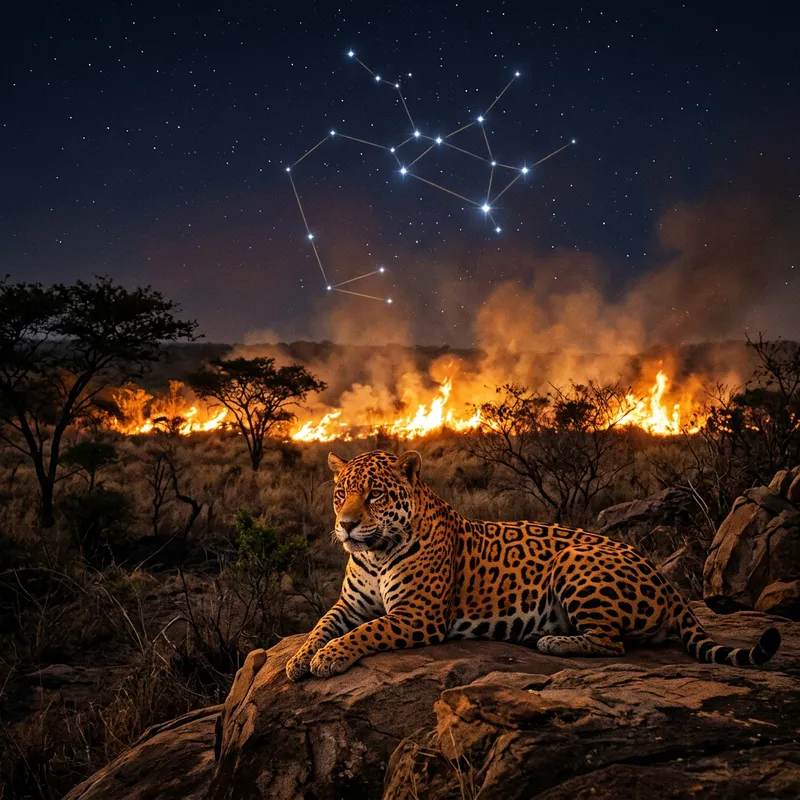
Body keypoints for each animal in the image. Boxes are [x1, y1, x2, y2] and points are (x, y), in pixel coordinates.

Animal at [286, 449, 781, 680]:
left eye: (375, 495)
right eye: (340, 494)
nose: (347, 525)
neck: (374, 553)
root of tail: (664, 579)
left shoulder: (417, 615)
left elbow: (366, 632)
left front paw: (328, 658)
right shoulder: (350, 604)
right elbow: (322, 625)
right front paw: (299, 658)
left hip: (576, 562)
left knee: (613, 643)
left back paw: (550, 640)